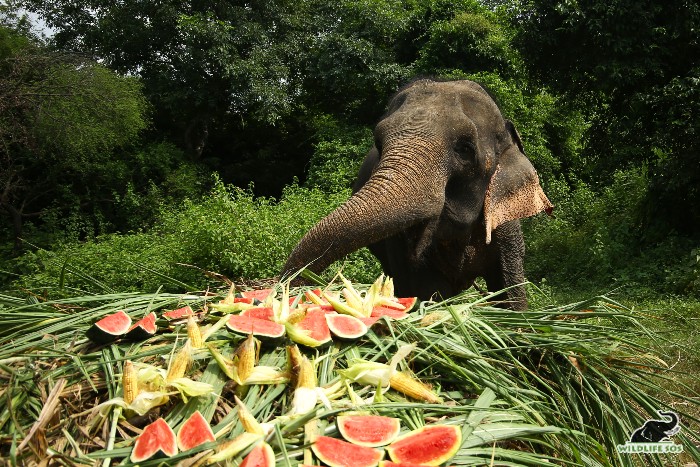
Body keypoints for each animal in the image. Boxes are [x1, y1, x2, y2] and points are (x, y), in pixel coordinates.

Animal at [284, 78, 552, 308]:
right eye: (379, 144)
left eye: (465, 148)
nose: (285, 288)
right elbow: (426, 291)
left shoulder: (505, 224)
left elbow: (510, 290)